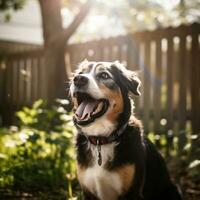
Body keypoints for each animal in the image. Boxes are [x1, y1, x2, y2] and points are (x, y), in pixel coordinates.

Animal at [69, 60, 182, 200]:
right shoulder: (88, 192)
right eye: (80, 73)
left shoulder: (132, 192)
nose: (78, 79)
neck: (101, 140)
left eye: (104, 75)